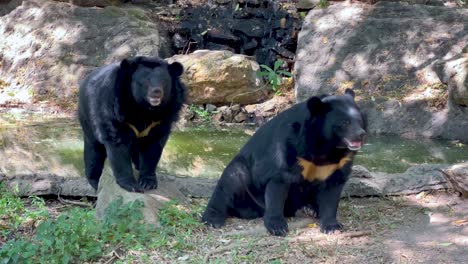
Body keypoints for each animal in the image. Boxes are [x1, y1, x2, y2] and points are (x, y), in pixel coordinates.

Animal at [78, 56, 185, 192]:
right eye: (145, 81)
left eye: (164, 81)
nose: (156, 92)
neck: (145, 109)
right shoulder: (114, 111)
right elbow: (118, 147)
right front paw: (132, 185)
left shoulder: (163, 117)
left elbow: (153, 148)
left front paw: (148, 182)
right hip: (88, 118)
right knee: (94, 151)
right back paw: (95, 182)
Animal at [201, 88, 366, 235]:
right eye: (345, 122)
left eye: (359, 121)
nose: (361, 134)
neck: (326, 146)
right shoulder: (289, 145)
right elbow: (279, 182)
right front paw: (277, 226)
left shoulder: (339, 162)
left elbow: (333, 189)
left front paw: (332, 226)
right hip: (242, 173)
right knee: (229, 183)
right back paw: (213, 219)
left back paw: (309, 209)